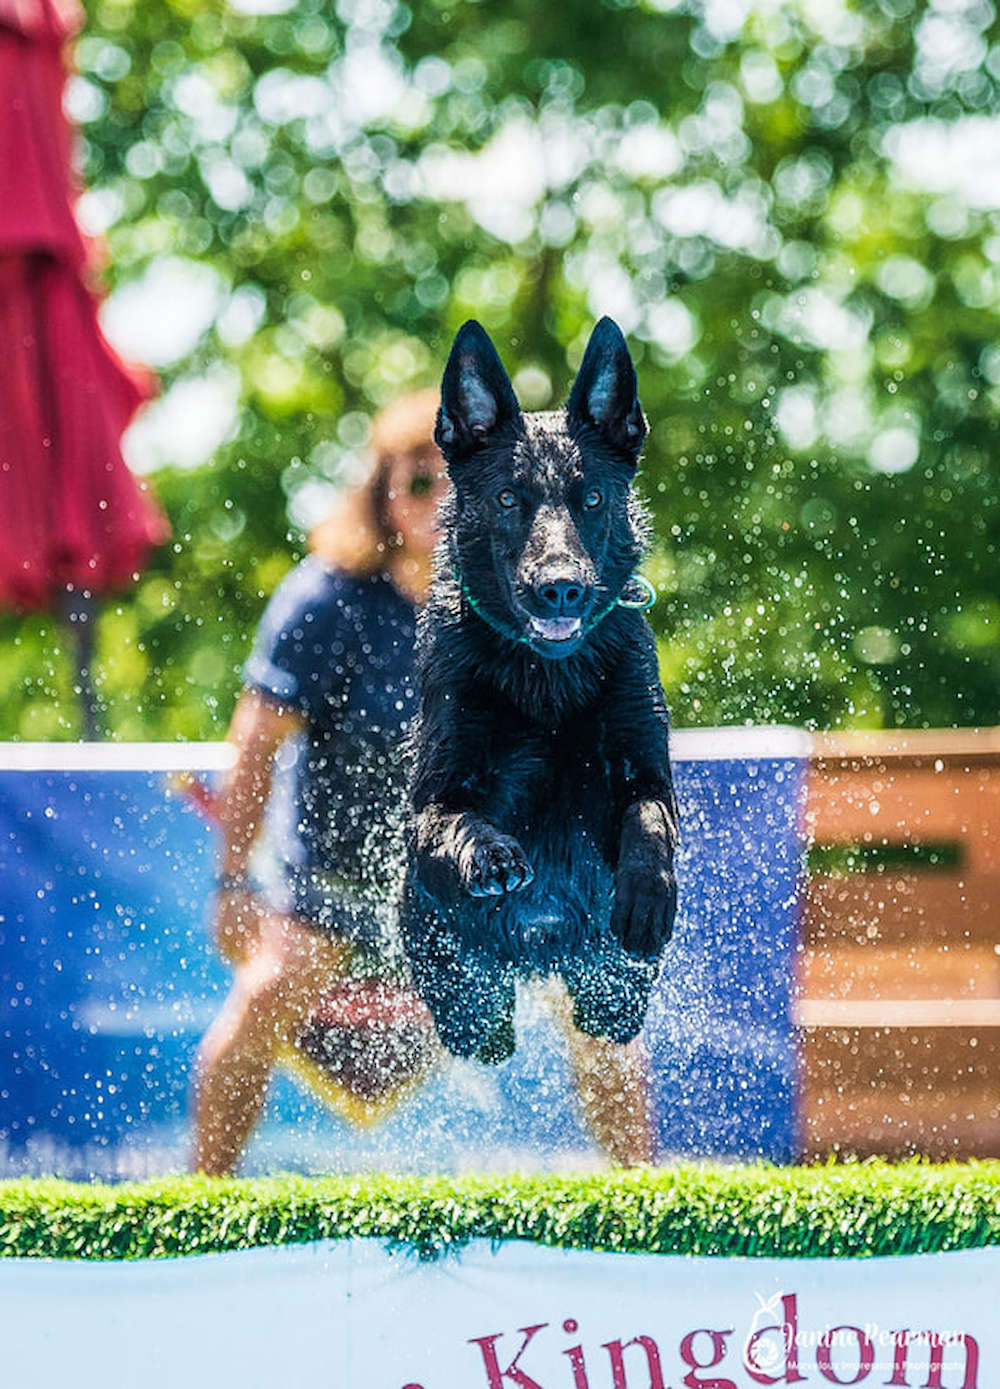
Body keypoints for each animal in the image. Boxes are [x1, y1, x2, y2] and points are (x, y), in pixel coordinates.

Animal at [397, 318, 680, 1061]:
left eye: (592, 498)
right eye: (507, 499)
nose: (560, 587)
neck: (547, 681)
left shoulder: (646, 769)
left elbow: (650, 820)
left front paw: (647, 894)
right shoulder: (435, 801)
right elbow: (457, 821)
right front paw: (493, 855)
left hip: (608, 1002)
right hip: (464, 999)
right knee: (481, 1032)